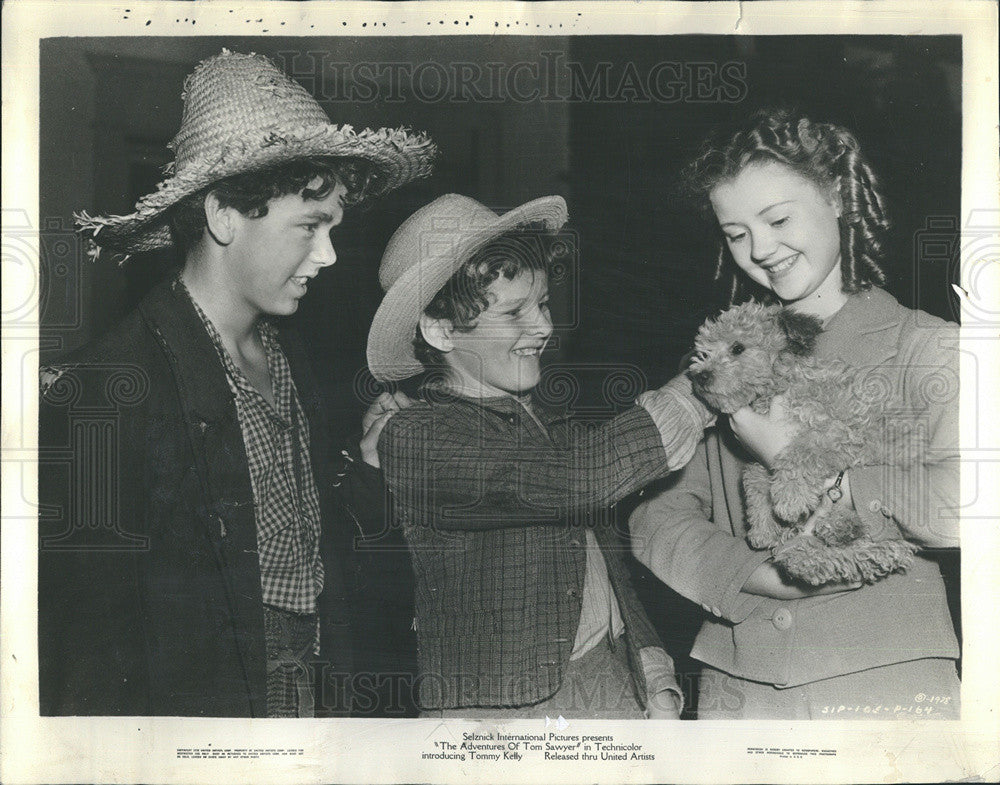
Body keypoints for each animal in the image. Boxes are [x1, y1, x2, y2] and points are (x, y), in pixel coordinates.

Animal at [688, 304, 916, 584]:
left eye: (737, 348)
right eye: (704, 351)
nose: (700, 376)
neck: (779, 382)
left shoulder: (836, 432)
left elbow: (799, 453)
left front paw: (790, 499)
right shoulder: (759, 458)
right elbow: (753, 478)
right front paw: (762, 527)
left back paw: (840, 526)